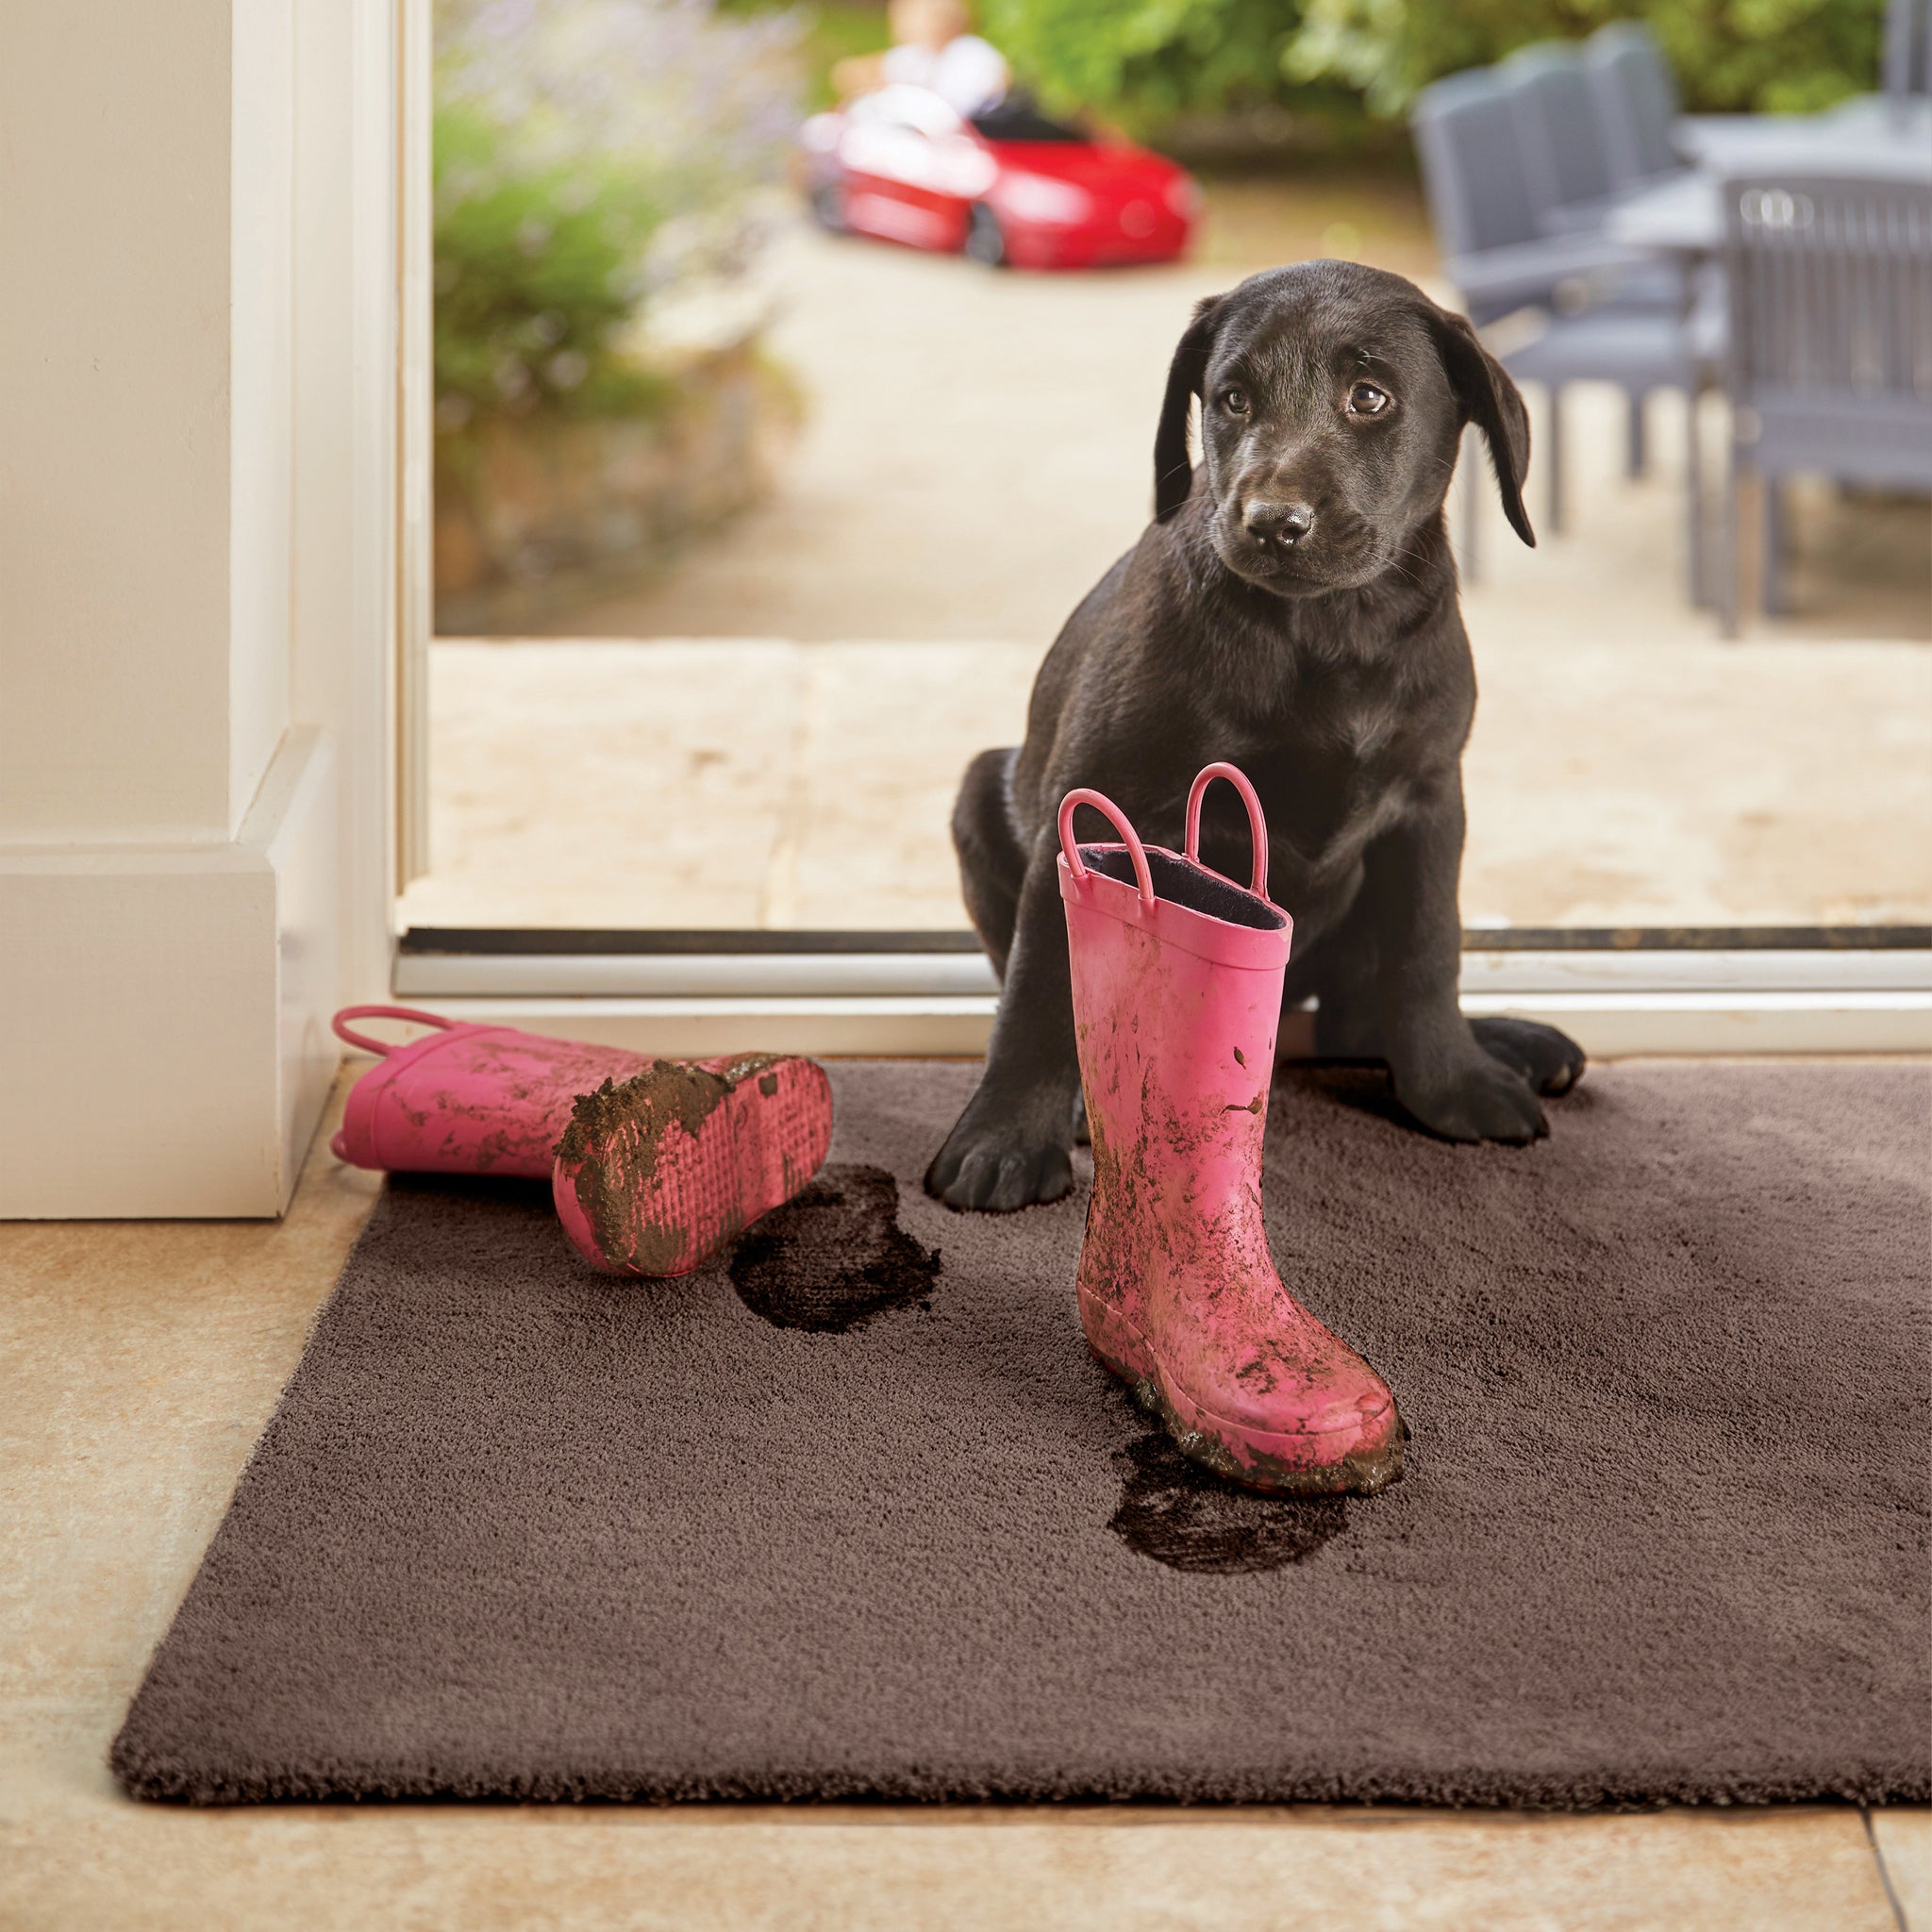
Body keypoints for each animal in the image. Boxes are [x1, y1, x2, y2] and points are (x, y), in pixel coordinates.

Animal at [931, 262, 1584, 1213]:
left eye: (1369, 397)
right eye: (1233, 399)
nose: (1274, 521)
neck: (1330, 630)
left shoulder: (1430, 803)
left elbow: (1429, 950)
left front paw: (1453, 1081)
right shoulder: (1090, 800)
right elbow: (1043, 981)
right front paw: (1005, 1135)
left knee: (1360, 1014)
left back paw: (1509, 1042)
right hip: (981, 795)